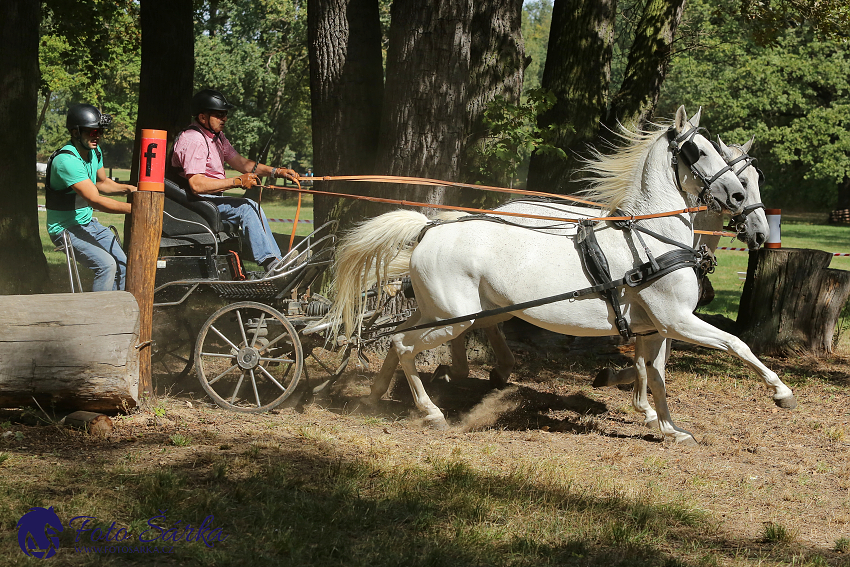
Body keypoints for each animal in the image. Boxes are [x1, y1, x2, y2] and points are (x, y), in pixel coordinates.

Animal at [324, 105, 796, 444]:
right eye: (697, 150)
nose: (739, 200)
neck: (651, 237)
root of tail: (430, 229)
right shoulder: (679, 320)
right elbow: (736, 345)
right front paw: (781, 392)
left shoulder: (658, 327)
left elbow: (657, 376)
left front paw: (667, 427)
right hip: (454, 318)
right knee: (405, 345)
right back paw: (432, 412)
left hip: (441, 312)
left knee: (396, 341)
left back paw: (375, 397)